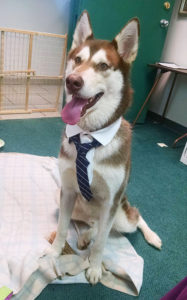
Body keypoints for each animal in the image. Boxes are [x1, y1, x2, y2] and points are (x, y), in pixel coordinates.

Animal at [50, 10, 162, 284]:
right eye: (77, 59)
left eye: (102, 66)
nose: (72, 81)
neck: (88, 136)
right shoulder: (67, 192)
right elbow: (61, 229)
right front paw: (54, 253)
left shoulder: (111, 199)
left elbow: (102, 242)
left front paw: (94, 267)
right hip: (73, 204)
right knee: (94, 224)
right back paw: (85, 235)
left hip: (120, 212)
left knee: (131, 219)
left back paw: (151, 235)